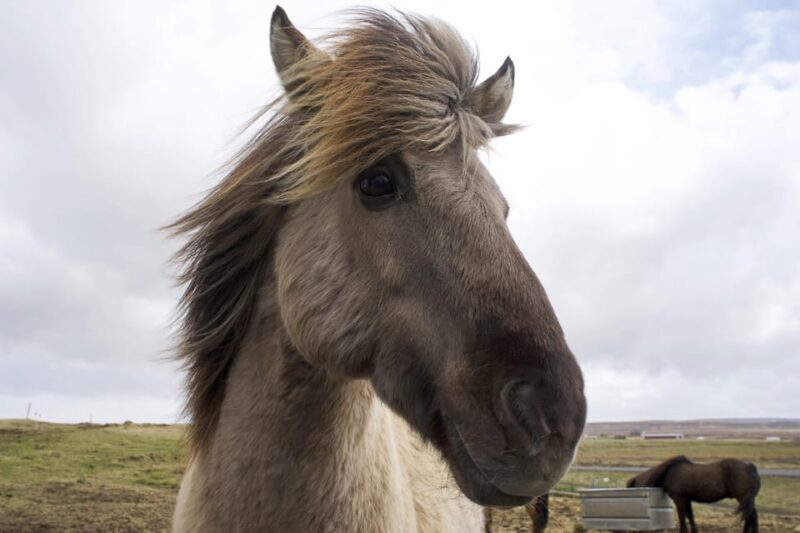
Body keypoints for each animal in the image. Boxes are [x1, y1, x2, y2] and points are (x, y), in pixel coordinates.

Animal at [627, 455, 760, 533]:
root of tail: (750, 466)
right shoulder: (687, 499)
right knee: (752, 515)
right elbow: (690, 516)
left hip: (743, 498)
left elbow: (682, 517)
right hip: (747, 500)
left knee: (750, 516)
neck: (668, 474)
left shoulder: (679, 499)